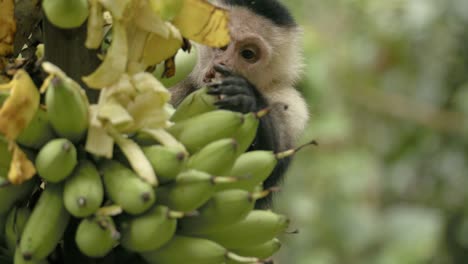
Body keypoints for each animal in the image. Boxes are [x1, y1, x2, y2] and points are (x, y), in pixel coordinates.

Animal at [170, 0, 308, 208]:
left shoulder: (293, 108)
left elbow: (264, 180)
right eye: (221, 44)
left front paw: (247, 100)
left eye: (248, 54)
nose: (223, 64)